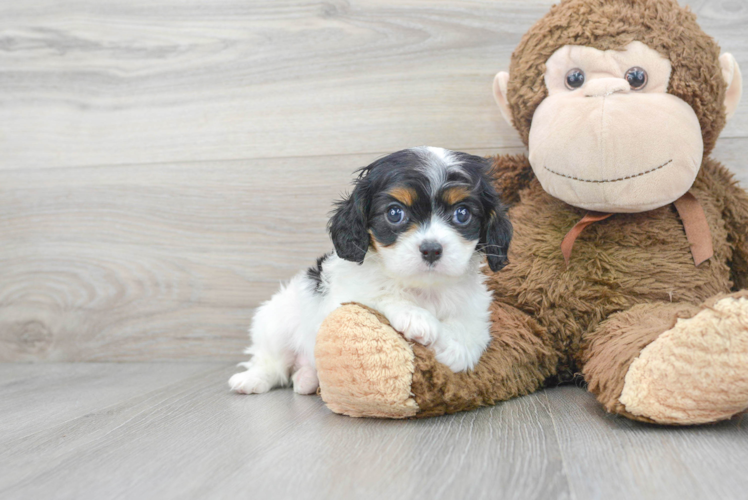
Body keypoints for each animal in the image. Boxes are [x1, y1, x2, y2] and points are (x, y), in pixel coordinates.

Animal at [231, 146, 512, 394]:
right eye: (395, 213)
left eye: (462, 214)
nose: (432, 249)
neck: (423, 288)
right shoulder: (343, 300)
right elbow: (377, 294)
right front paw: (416, 317)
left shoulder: (475, 307)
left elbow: (471, 330)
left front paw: (455, 347)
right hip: (276, 321)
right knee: (272, 362)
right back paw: (252, 380)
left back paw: (306, 379)